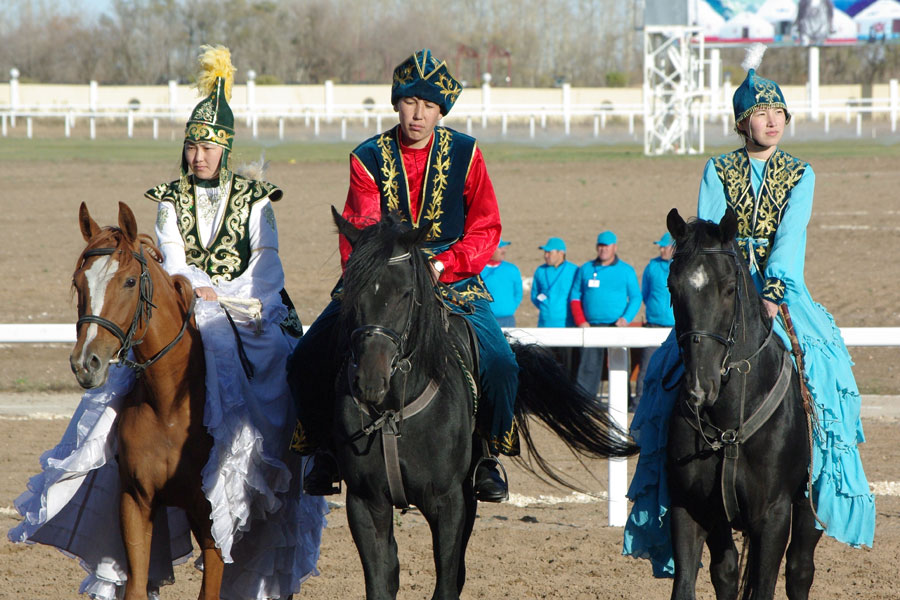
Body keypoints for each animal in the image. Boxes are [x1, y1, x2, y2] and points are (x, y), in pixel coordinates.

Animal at [69, 203, 220, 600]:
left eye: (129, 282)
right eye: (78, 283)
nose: (85, 363)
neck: (170, 404)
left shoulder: (214, 514)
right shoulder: (136, 501)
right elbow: (135, 585)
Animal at [332, 211, 640, 600]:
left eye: (405, 293)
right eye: (351, 290)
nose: (370, 381)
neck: (392, 413)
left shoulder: (450, 502)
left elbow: (448, 580)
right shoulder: (365, 502)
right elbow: (381, 581)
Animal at [664, 207, 820, 600]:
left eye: (729, 288)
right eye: (672, 288)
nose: (700, 387)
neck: (729, 424)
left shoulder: (773, 516)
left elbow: (766, 585)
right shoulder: (688, 508)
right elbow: (687, 583)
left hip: (810, 504)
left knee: (799, 570)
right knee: (727, 571)